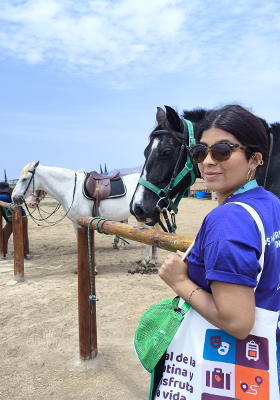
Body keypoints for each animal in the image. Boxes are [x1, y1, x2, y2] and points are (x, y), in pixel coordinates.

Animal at [12, 162, 158, 272]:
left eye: (24, 179)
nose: (15, 198)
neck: (70, 189)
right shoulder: (76, 223)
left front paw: (93, 268)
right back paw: (152, 261)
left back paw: (144, 263)